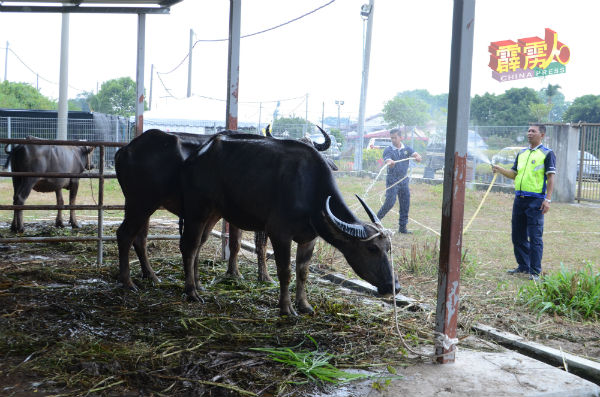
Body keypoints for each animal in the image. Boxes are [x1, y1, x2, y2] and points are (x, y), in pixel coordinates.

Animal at [179, 133, 398, 316]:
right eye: (372, 248)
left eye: (388, 248)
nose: (394, 287)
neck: (309, 190)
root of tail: (197, 155)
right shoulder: (280, 234)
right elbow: (285, 272)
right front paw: (286, 308)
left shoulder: (309, 238)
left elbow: (302, 272)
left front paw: (304, 305)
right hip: (197, 210)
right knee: (189, 246)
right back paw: (191, 292)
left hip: (214, 212)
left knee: (199, 244)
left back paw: (199, 285)